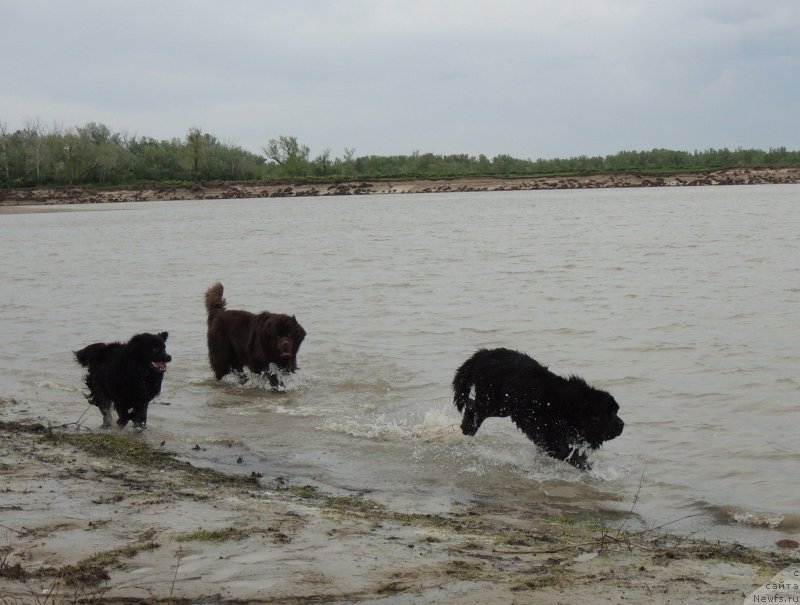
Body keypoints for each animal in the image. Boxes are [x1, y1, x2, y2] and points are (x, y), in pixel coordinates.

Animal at [454, 346, 620, 470]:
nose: (622, 425)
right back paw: (468, 427)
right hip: (494, 402)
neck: (572, 406)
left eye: (616, 411)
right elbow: (566, 453)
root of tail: (485, 354)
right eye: (610, 414)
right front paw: (585, 465)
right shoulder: (548, 435)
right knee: (472, 406)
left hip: (499, 406)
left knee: (473, 406)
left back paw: (468, 428)